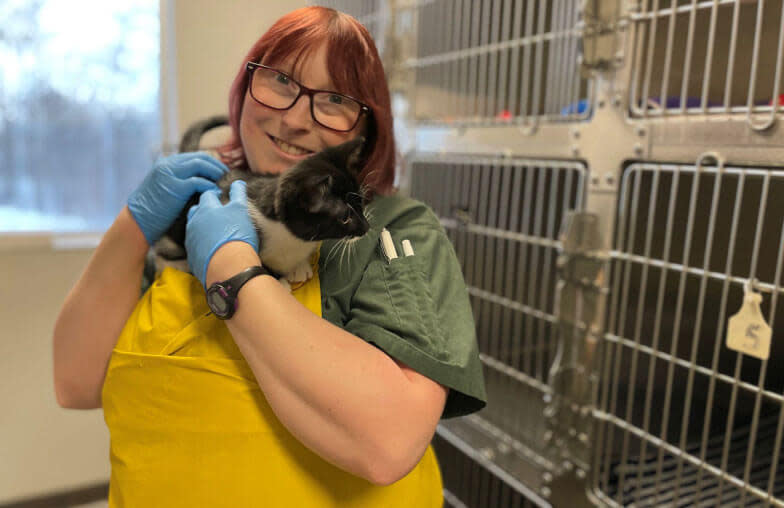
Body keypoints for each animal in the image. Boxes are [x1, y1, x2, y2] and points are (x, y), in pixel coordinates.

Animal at [155, 135, 370, 286]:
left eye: (361, 202)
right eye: (345, 217)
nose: (367, 227)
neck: (290, 237)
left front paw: (298, 266)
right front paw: (279, 281)